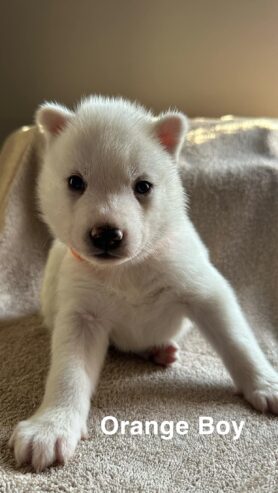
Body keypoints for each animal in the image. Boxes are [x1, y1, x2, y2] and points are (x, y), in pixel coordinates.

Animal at [8, 96, 278, 468]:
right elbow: (69, 367)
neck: (128, 270)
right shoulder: (81, 302)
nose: (106, 234)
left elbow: (234, 335)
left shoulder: (193, 278)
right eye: (76, 182)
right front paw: (49, 430)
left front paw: (266, 384)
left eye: (143, 186)